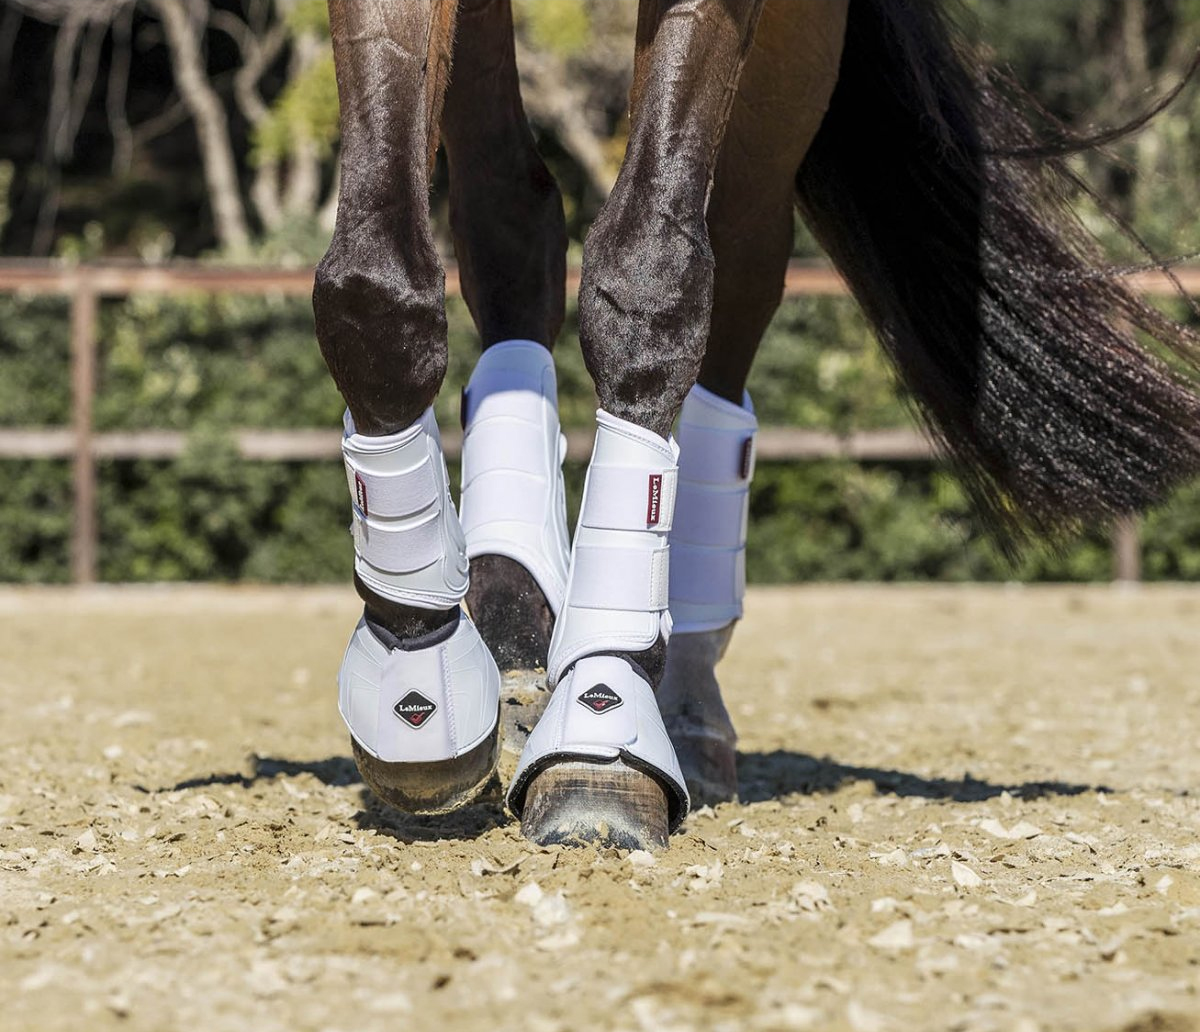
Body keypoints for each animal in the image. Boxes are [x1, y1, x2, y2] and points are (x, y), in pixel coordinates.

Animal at [312, 0, 1200, 851]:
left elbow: (652, 279)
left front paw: (603, 717)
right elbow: (374, 290)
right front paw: (418, 679)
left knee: (735, 258)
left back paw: (680, 703)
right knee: (510, 214)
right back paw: (508, 617)